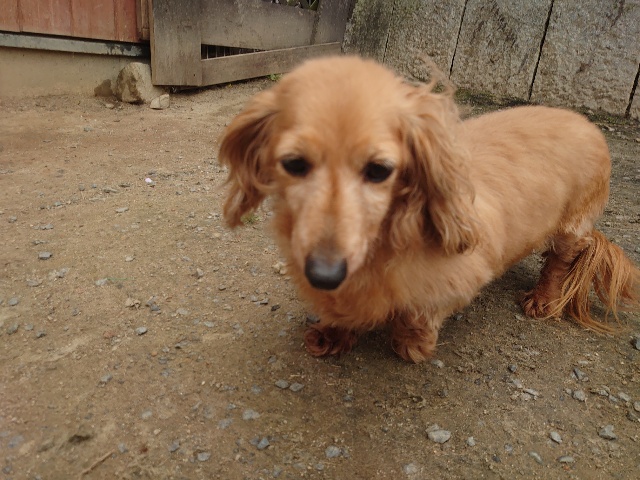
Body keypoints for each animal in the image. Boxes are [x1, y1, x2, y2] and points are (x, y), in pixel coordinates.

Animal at [219, 56, 639, 363]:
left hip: (571, 227)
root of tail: (586, 122)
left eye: (379, 170)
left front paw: (411, 343)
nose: (324, 273)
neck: (381, 243)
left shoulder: (459, 277)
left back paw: (542, 299)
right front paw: (333, 331)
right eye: (293, 163)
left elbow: (418, 313)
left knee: (558, 262)